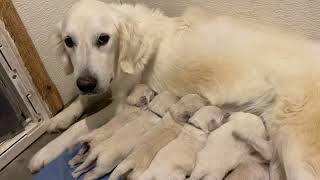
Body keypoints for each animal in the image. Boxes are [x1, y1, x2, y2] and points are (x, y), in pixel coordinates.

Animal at [29, 0, 320, 179]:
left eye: (103, 38)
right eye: (69, 41)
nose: (86, 83)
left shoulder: (124, 99)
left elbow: (82, 125)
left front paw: (44, 153)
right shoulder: (100, 81)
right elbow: (81, 101)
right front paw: (58, 118)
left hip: (294, 145)